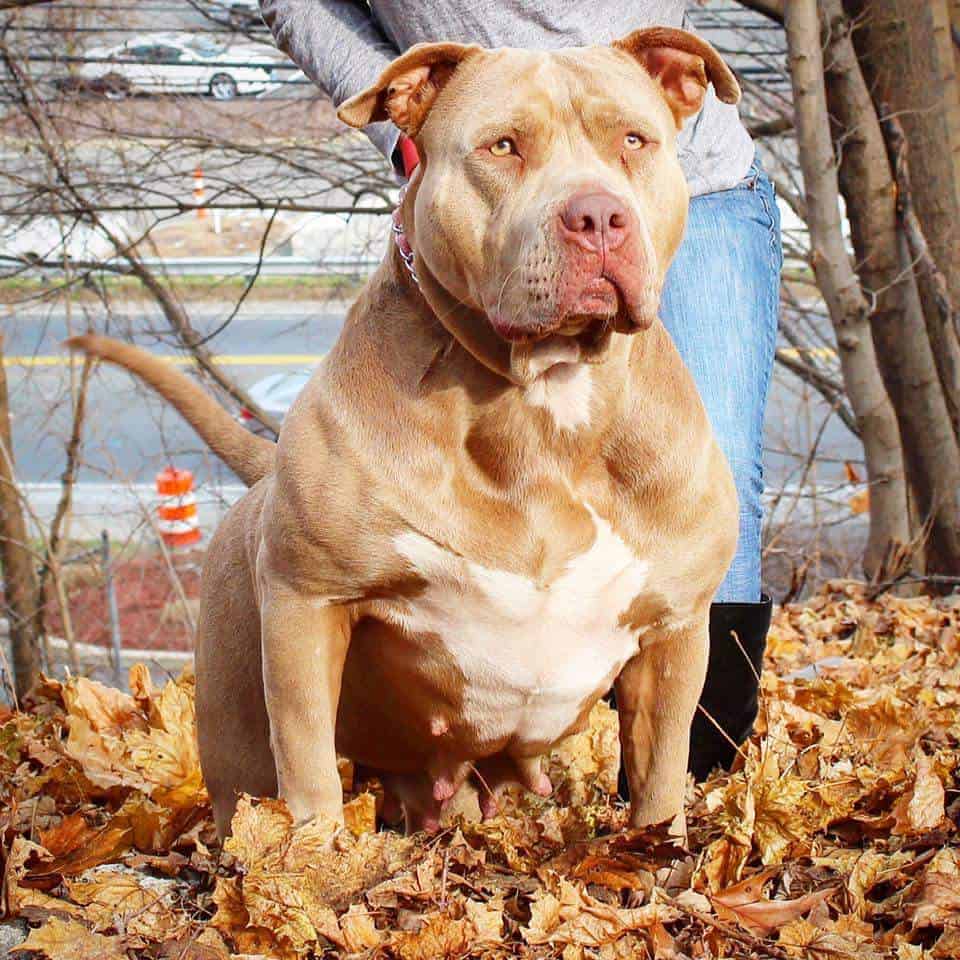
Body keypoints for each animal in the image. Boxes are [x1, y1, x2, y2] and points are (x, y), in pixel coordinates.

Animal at [71, 28, 740, 840]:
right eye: (502, 146)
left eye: (634, 140)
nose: (598, 216)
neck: (543, 405)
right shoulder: (308, 603)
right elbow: (308, 770)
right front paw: (313, 862)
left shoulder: (676, 628)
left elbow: (659, 772)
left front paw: (659, 852)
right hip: (238, 721)